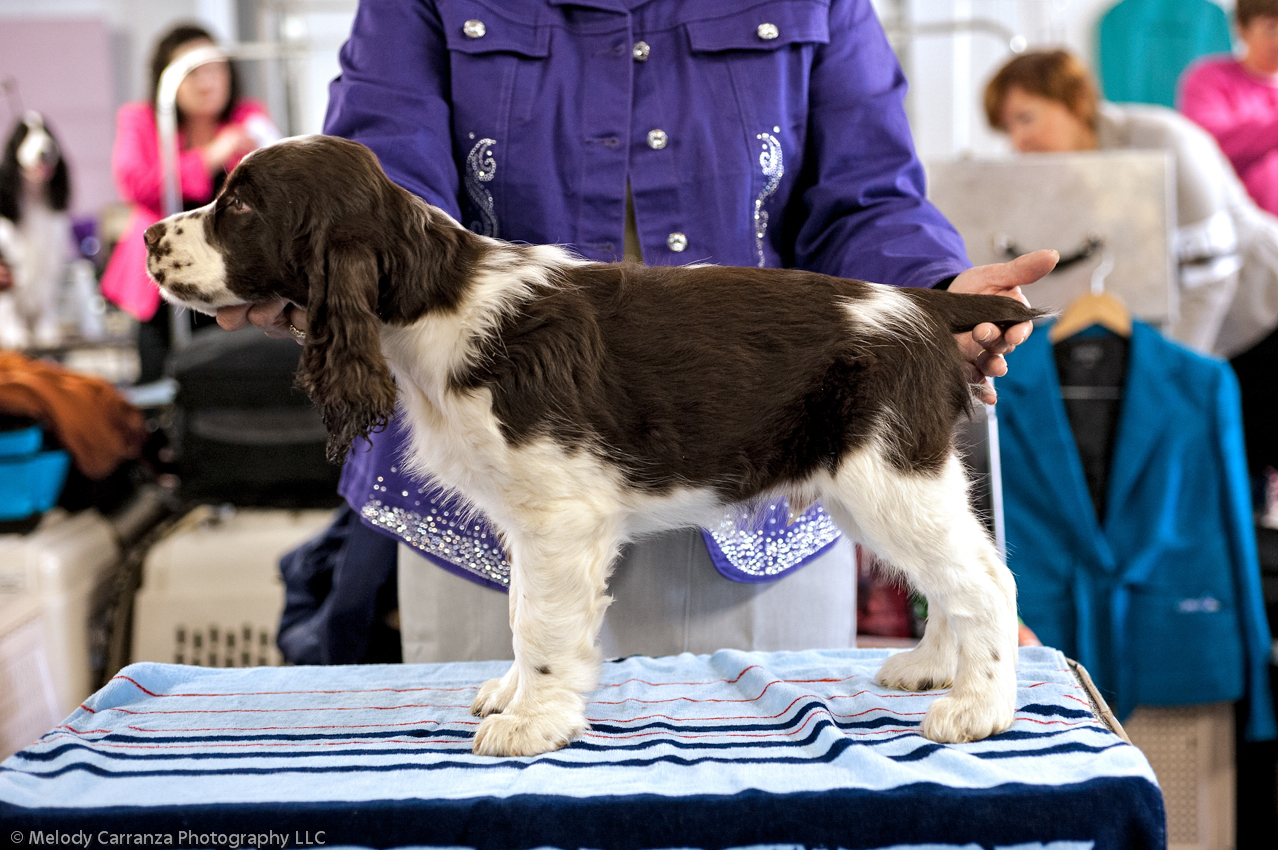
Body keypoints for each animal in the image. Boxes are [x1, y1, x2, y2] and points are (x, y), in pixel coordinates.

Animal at [146, 137, 1047, 756]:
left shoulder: (560, 514)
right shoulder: (527, 519)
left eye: (241, 208)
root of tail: (925, 308)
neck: (437, 301)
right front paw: (513, 697)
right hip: (876, 483)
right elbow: (519, 613)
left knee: (985, 580)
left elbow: (544, 626)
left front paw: (532, 723)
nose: (152, 236)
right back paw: (931, 666)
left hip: (887, 477)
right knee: (950, 578)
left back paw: (978, 707)